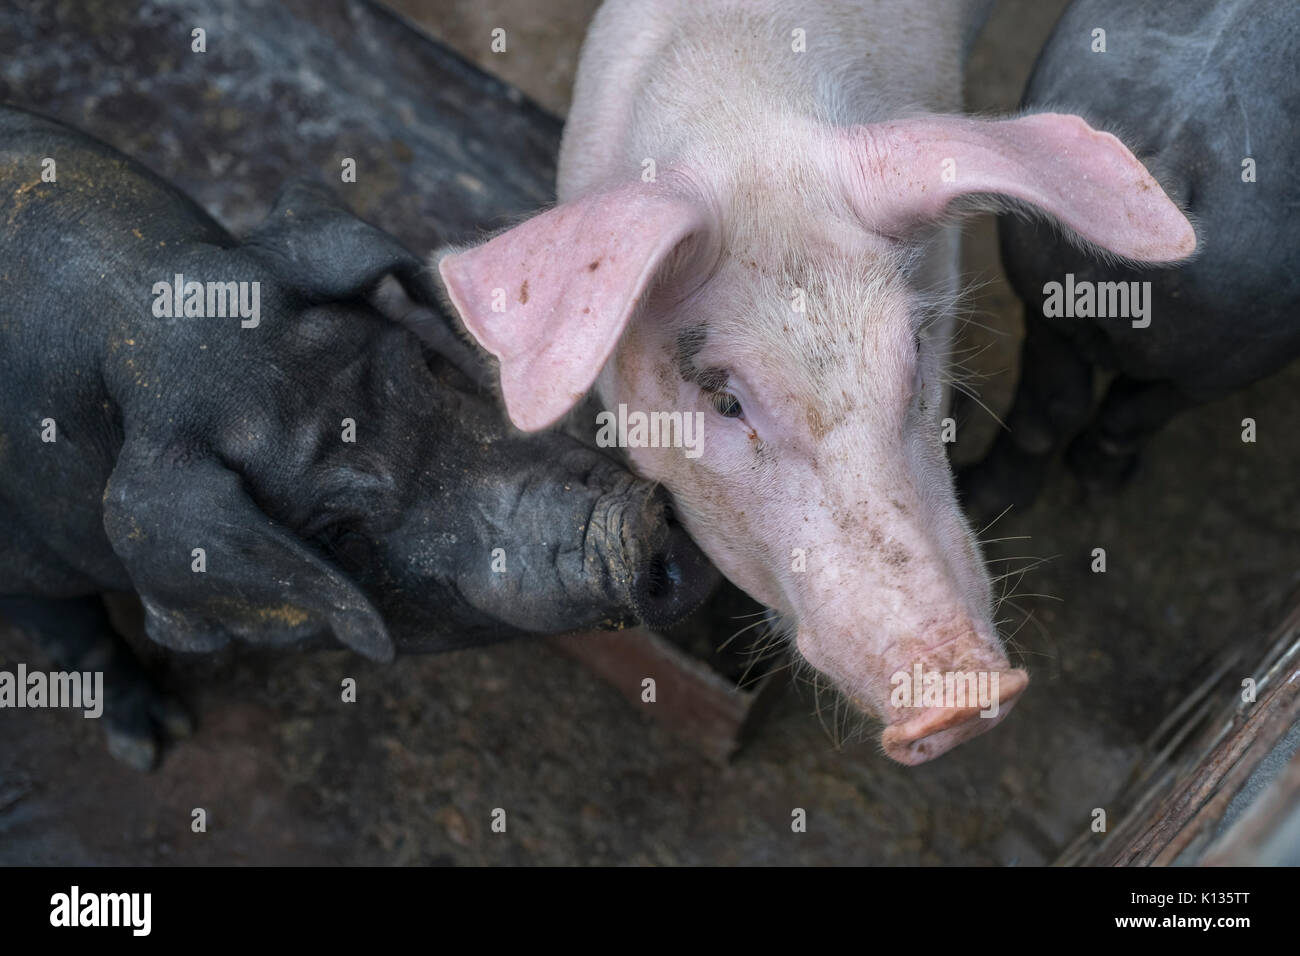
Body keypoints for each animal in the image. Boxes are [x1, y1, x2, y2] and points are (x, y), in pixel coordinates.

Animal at [0, 106, 717, 770]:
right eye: (338, 533)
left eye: (425, 365)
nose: (637, 531)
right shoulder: (29, 574)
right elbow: (81, 637)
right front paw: (157, 743)